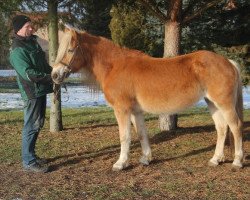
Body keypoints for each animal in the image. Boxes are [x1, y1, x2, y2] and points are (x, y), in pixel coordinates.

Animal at [51, 25, 244, 170]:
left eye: (70, 49)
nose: (54, 75)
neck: (115, 66)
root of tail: (228, 62)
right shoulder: (136, 111)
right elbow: (141, 134)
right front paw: (146, 159)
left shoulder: (122, 110)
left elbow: (124, 136)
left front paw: (121, 163)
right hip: (212, 103)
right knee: (221, 128)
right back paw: (216, 159)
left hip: (224, 104)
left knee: (235, 126)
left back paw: (237, 161)